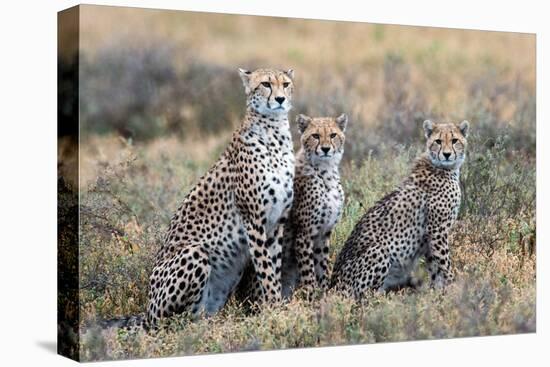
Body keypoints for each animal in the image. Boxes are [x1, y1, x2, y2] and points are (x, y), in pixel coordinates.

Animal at [146, 67, 298, 326]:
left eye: (286, 84)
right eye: (266, 84)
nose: (280, 99)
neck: (275, 132)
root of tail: (145, 311)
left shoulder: (277, 221)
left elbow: (274, 266)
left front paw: (275, 303)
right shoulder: (253, 220)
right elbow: (266, 269)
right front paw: (275, 308)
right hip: (194, 253)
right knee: (176, 321)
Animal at [330, 121, 472, 300]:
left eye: (454, 140)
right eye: (438, 141)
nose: (446, 154)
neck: (442, 168)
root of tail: (331, 287)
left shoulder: (430, 238)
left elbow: (435, 268)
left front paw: (437, 294)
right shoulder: (437, 231)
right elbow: (445, 264)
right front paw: (455, 289)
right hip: (379, 251)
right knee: (365, 296)